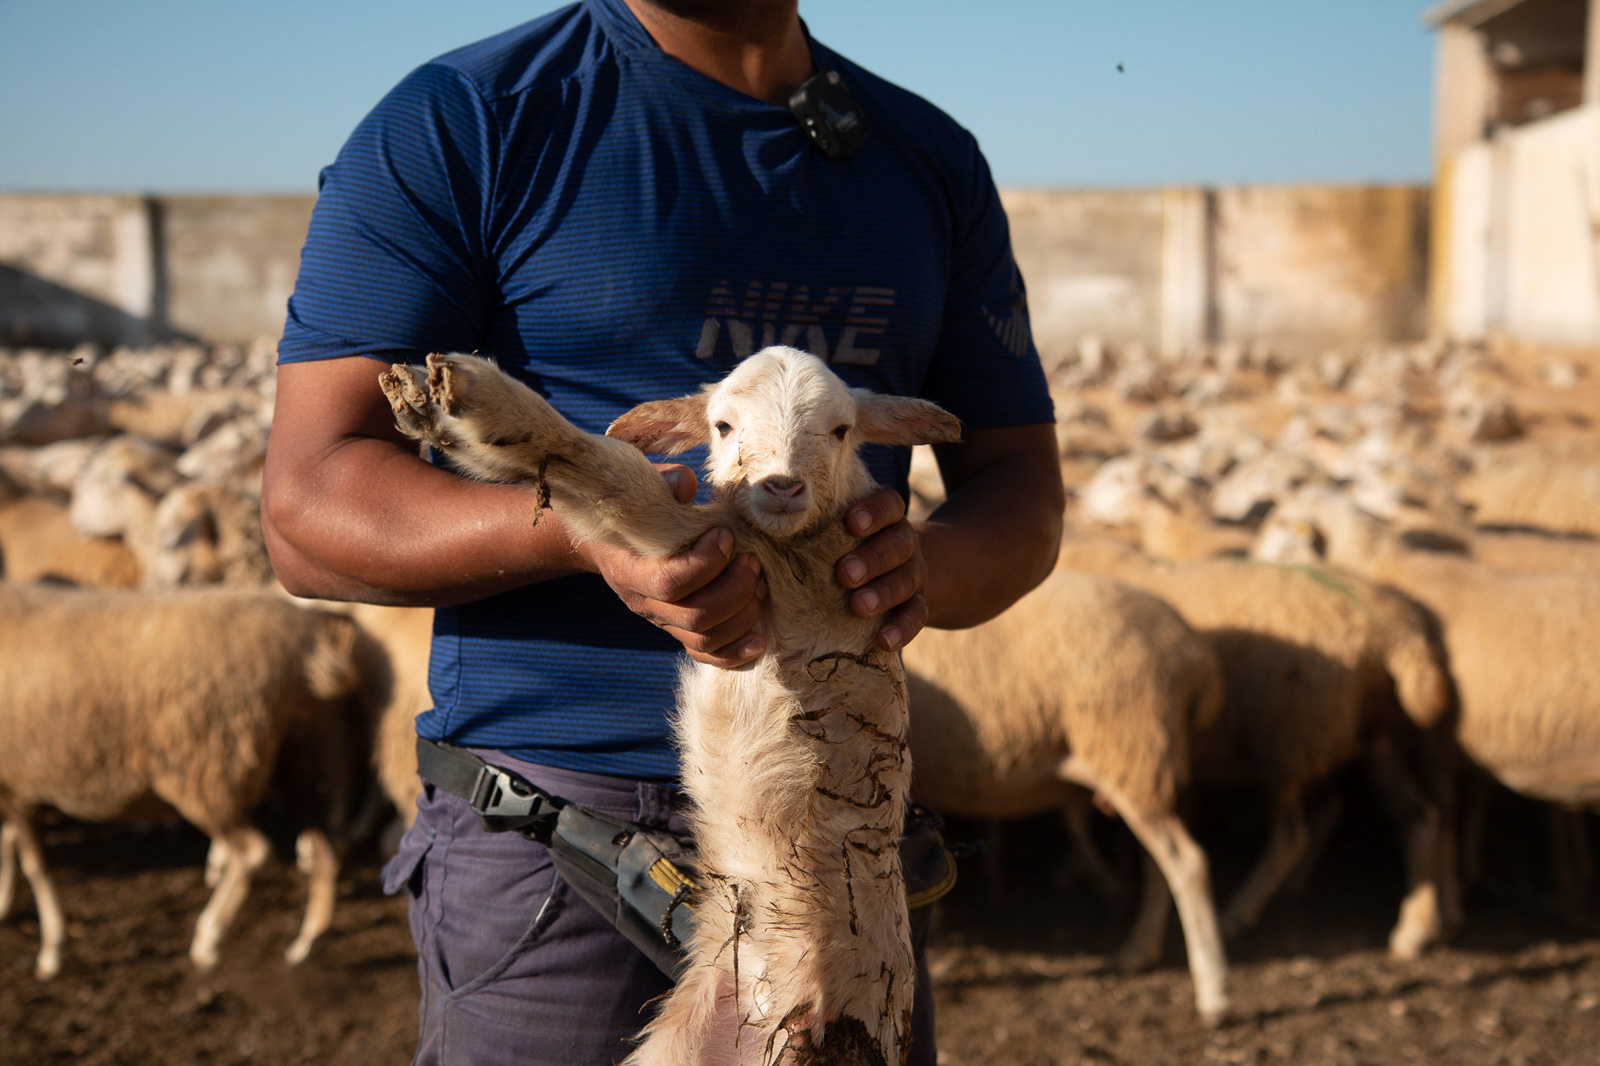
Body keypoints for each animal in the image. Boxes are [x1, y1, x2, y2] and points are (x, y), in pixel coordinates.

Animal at [0, 585, 371, 973]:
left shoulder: (10, 784)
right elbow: (11, 847)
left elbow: (34, 863)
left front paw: (51, 948)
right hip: (298, 756)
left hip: (207, 764)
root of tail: (308, 643)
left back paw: (209, 938)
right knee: (324, 852)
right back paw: (307, 944)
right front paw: (6, 902)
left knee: (252, 851)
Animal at [377, 348, 960, 1062]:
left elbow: (619, 482)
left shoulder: (761, 562)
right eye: (723, 426)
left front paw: (476, 405)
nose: (782, 486)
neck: (800, 540)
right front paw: (427, 402)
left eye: (842, 430)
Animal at [902, 563, 1222, 1024]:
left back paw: (1213, 993)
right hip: (1144, 767)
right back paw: (1138, 951)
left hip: (1131, 748)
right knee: (1159, 866)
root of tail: (1194, 656)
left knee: (1188, 864)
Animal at [1056, 534, 1459, 960]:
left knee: (1290, 837)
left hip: (1287, 743)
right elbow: (1079, 819)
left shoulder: (1121, 752)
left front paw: (1109, 892)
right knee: (1419, 817)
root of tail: (1401, 634)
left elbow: (1083, 822)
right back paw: (1414, 930)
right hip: (1376, 741)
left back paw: (1236, 915)